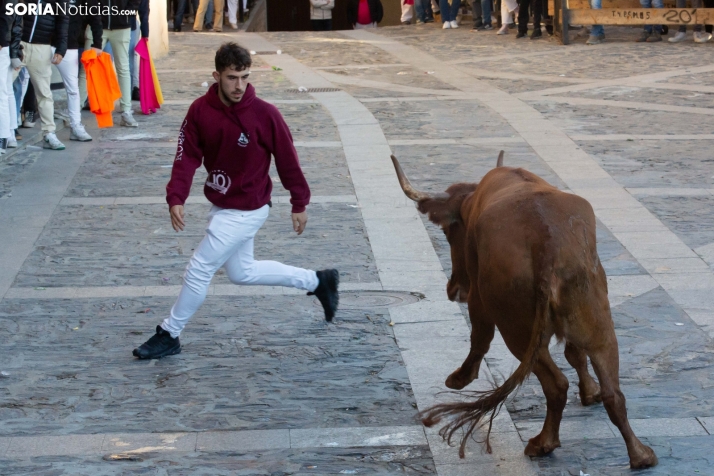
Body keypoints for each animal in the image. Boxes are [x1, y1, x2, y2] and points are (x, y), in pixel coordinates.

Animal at [390, 153, 656, 468]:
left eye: (448, 231)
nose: (454, 289)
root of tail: (547, 242)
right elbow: (575, 354)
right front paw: (589, 391)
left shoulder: (478, 293)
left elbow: (480, 337)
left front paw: (461, 377)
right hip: (597, 322)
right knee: (612, 392)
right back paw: (641, 455)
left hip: (517, 330)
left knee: (556, 384)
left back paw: (543, 443)